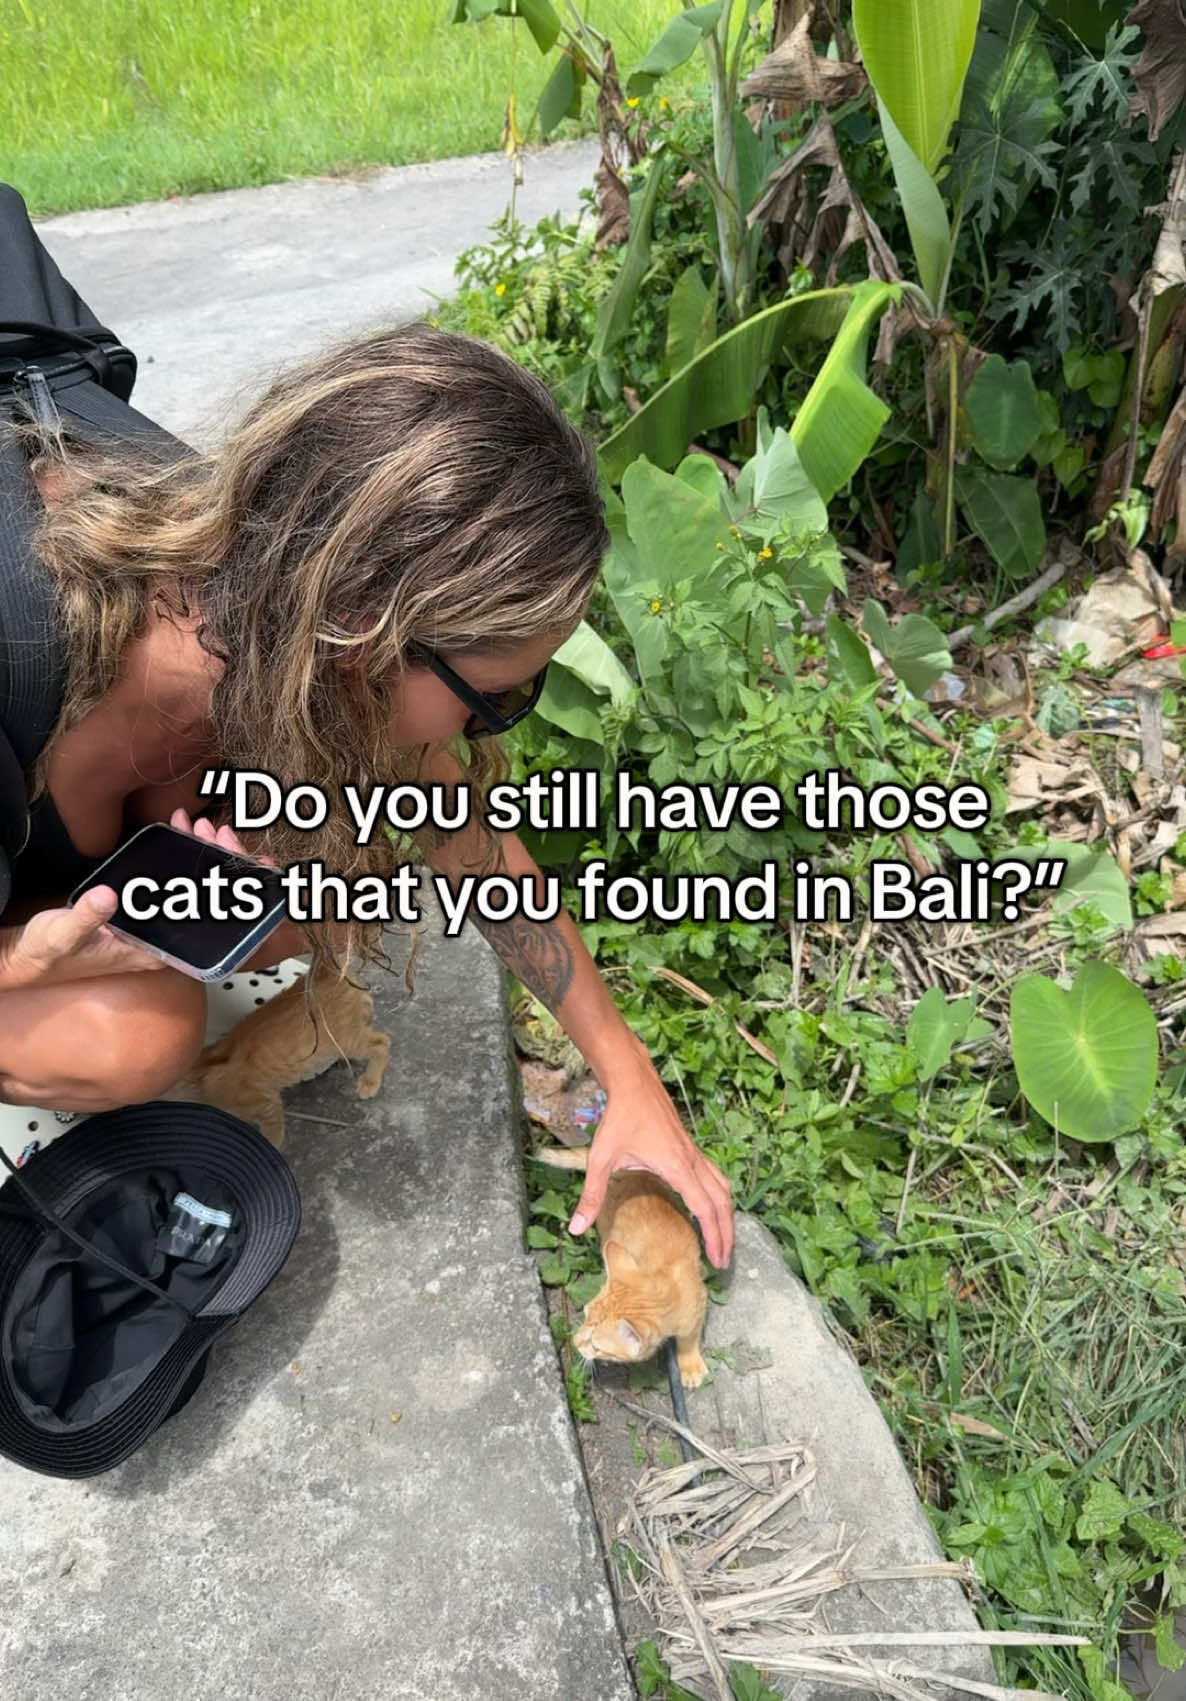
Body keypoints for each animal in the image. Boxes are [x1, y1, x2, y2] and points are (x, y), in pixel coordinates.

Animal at [180, 966, 391, 1149]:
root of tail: (324, 972)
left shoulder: (265, 1103)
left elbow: (270, 1137)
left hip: (346, 1040)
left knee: (382, 1042)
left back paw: (370, 1082)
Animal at [534, 1149, 704, 1388]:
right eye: (585, 1315)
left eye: (596, 1346)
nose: (574, 1341)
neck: (665, 1287)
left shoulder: (697, 1305)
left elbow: (689, 1336)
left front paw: (690, 1363)